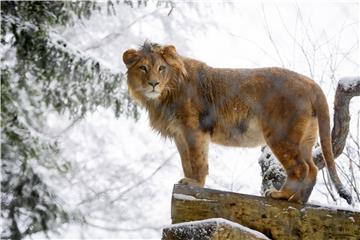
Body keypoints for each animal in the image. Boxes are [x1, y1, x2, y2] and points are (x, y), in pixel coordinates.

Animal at [121, 42, 352, 203]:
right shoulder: (179, 133)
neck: (163, 95)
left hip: (279, 134)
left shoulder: (194, 129)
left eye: (161, 68)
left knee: (300, 168)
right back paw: (298, 200)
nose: (153, 83)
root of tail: (312, 84)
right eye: (143, 68)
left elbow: (198, 159)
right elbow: (186, 160)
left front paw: (195, 183)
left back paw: (282, 195)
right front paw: (187, 181)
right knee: (312, 169)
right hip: (305, 138)